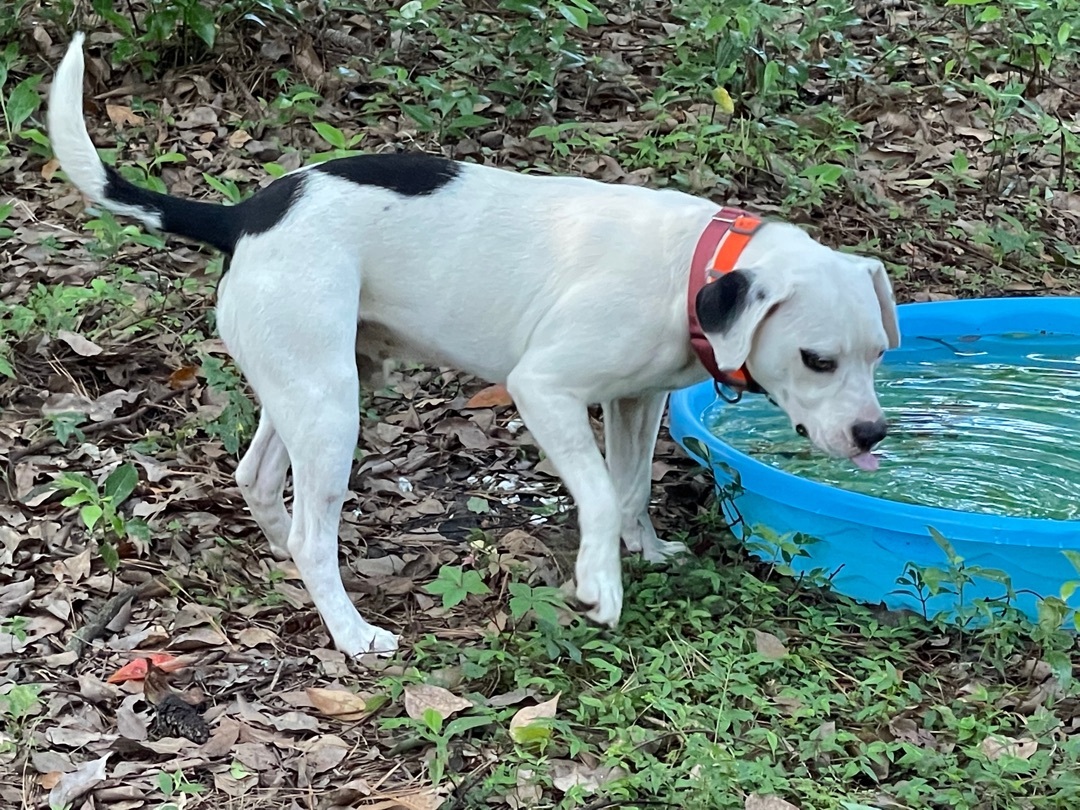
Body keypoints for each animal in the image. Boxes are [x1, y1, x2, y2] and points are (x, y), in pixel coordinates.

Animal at [48, 33, 894, 660]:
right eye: (818, 359)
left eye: (880, 355)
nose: (873, 434)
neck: (693, 264)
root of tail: (243, 216)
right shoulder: (544, 389)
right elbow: (595, 489)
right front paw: (601, 581)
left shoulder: (636, 400)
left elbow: (629, 486)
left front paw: (642, 550)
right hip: (331, 406)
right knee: (313, 532)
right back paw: (351, 631)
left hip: (314, 383)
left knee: (259, 480)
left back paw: (290, 564)